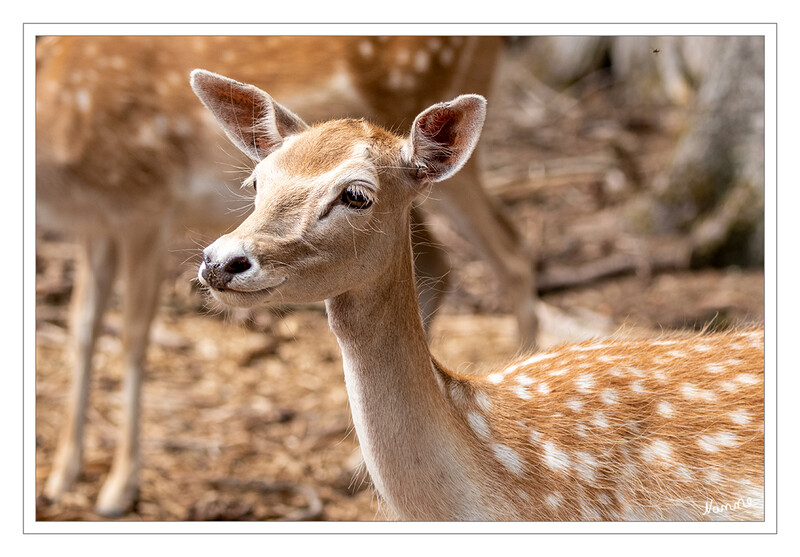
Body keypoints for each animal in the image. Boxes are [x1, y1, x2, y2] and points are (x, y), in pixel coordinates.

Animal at [36, 37, 536, 516]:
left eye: (356, 194)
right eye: (256, 181)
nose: (220, 261)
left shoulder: (146, 200)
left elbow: (133, 334)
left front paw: (118, 489)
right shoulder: (98, 223)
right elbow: (83, 326)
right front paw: (59, 480)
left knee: (511, 250)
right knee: (443, 262)